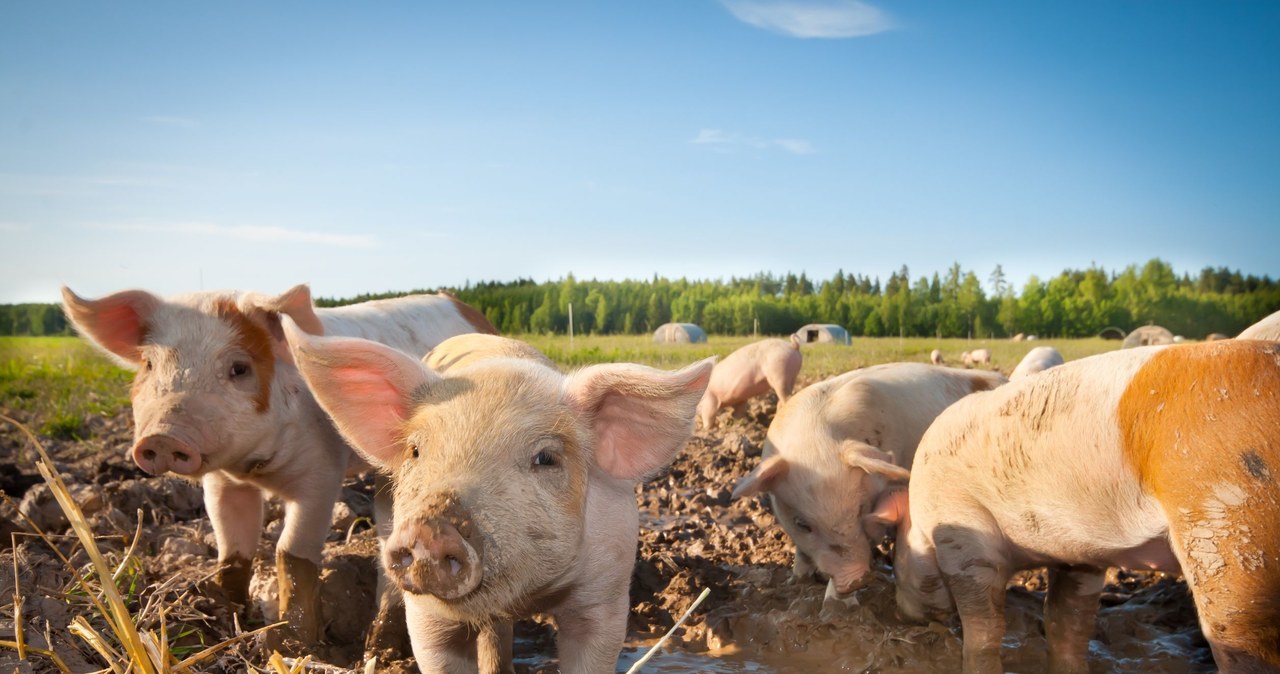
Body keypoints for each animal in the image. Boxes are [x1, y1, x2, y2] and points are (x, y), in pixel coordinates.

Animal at [62, 282, 496, 652]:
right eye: (150, 364)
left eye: (239, 368)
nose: (164, 438)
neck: (255, 469)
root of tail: (466, 308)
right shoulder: (222, 483)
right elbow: (232, 550)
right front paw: (226, 617)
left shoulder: (322, 474)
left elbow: (291, 552)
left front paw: (293, 645)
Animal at [284, 327, 716, 674]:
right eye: (416, 451)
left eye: (546, 458)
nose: (430, 529)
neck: (527, 595)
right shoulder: (427, 617)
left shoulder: (606, 593)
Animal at [880, 342, 1280, 674]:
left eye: (897, 552)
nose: (899, 612)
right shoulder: (1079, 554)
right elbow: (1066, 621)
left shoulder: (961, 534)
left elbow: (984, 626)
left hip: (1227, 525)